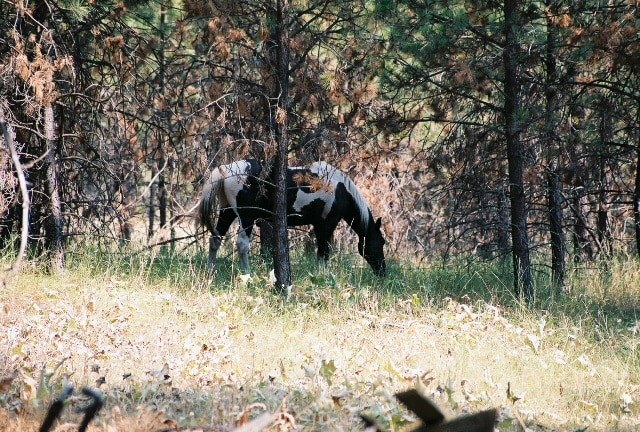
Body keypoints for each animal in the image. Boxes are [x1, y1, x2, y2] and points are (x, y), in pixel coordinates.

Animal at [199, 158, 386, 276]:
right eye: (382, 242)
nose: (383, 271)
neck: (341, 189)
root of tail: (226, 170)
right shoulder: (327, 223)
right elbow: (324, 251)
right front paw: (322, 275)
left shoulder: (318, 225)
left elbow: (321, 251)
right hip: (246, 216)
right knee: (242, 245)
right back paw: (248, 274)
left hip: (227, 211)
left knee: (215, 239)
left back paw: (210, 271)